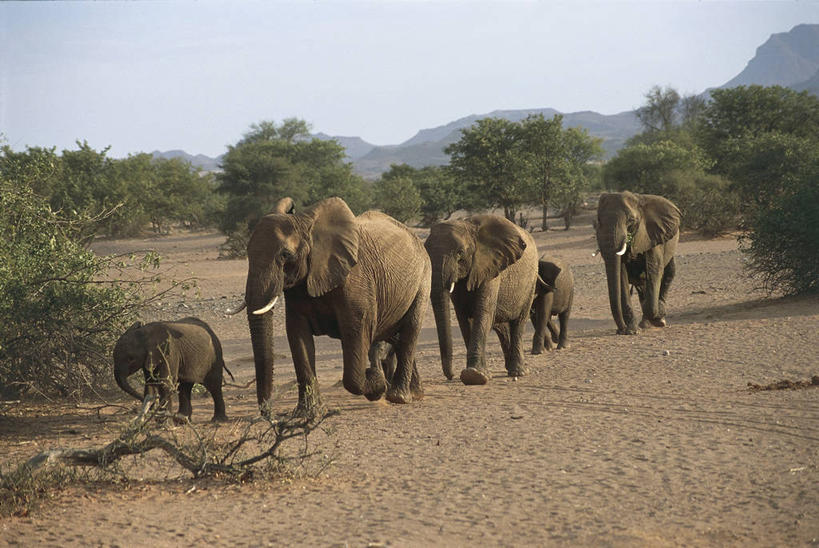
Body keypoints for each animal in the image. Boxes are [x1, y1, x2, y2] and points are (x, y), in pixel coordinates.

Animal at [237, 196, 430, 416]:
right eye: (248, 253)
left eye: (285, 255)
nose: (270, 414)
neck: (309, 226)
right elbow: (298, 337)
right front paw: (306, 414)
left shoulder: (355, 281)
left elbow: (356, 333)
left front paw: (377, 383)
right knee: (395, 336)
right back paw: (415, 394)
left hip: (423, 277)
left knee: (409, 331)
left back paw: (398, 397)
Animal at [426, 214, 540, 386]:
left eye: (460, 253)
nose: (451, 376)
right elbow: (463, 317)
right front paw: (476, 374)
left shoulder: (490, 266)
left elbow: (482, 312)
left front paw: (475, 376)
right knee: (502, 327)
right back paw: (509, 369)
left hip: (531, 281)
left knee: (518, 323)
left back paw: (519, 372)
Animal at [592, 193, 684, 338]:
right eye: (598, 221)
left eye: (631, 221)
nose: (620, 330)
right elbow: (621, 275)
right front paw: (632, 331)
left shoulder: (652, 234)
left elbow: (654, 270)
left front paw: (657, 317)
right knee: (642, 284)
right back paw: (645, 322)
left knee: (669, 272)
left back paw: (659, 318)